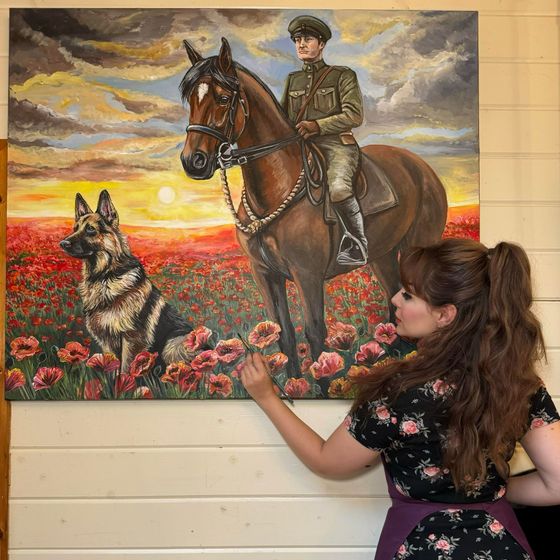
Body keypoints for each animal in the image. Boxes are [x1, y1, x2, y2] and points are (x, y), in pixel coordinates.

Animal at [59, 190, 194, 374]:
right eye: (75, 229)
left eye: (90, 229)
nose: (62, 243)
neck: (104, 276)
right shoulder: (107, 341)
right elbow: (112, 368)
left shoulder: (131, 339)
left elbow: (125, 370)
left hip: (173, 344)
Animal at [179, 38, 446, 380]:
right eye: (191, 99)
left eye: (224, 98)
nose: (193, 161)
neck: (275, 192)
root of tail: (422, 168)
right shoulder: (264, 273)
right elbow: (283, 335)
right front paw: (293, 383)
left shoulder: (307, 275)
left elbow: (315, 333)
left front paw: (322, 381)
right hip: (383, 256)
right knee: (393, 302)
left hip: (416, 248)